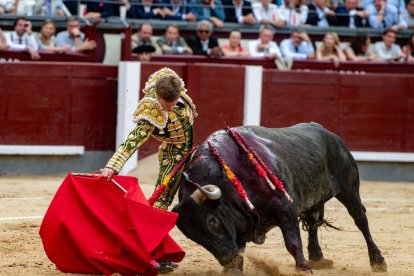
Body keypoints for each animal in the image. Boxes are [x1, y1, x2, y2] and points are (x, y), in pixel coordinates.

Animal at [171, 123, 388, 274]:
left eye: (212, 221)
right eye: (192, 235)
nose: (227, 259)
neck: (229, 176)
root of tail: (331, 135)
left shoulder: (286, 209)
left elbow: (292, 242)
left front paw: (303, 269)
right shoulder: (239, 221)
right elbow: (241, 247)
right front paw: (234, 269)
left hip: (349, 189)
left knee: (360, 220)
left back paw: (378, 261)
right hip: (313, 195)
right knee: (313, 222)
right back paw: (317, 257)